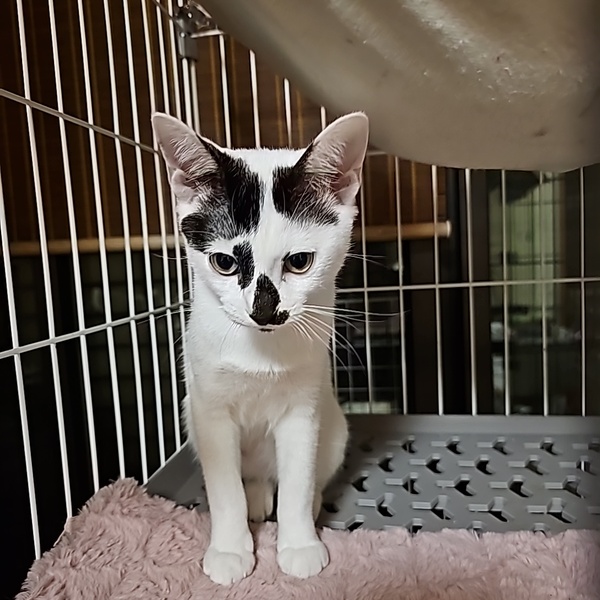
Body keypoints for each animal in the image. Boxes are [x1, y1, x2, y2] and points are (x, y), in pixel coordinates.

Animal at [152, 111, 369, 585]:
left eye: (300, 261)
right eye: (224, 262)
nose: (264, 311)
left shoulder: (303, 409)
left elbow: (298, 479)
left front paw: (299, 544)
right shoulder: (210, 412)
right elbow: (225, 489)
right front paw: (230, 550)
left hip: (334, 427)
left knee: (304, 477)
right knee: (250, 479)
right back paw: (254, 497)